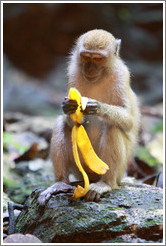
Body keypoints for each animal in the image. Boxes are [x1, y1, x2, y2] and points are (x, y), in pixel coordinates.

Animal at [38, 29, 141, 205]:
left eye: (98, 59)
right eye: (86, 57)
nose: (90, 69)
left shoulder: (121, 76)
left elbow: (128, 121)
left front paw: (99, 107)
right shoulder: (73, 72)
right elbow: (70, 120)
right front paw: (68, 107)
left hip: (120, 171)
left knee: (113, 127)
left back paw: (105, 184)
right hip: (80, 169)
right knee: (61, 124)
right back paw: (60, 183)